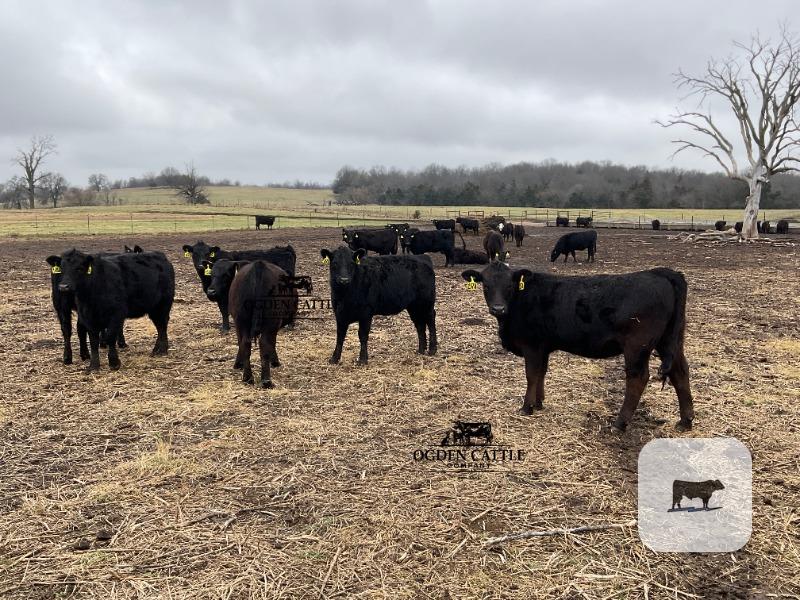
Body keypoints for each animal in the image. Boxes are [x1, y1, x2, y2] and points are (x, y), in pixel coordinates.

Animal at [460, 262, 693, 432]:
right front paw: (539, 403)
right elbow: (541, 373)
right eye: (485, 285)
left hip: (637, 346)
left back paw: (620, 423)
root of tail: (660, 272)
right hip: (670, 341)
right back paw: (686, 420)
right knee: (680, 372)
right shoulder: (543, 346)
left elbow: (531, 375)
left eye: (509, 286)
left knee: (638, 379)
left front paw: (527, 407)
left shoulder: (532, 345)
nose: (498, 308)